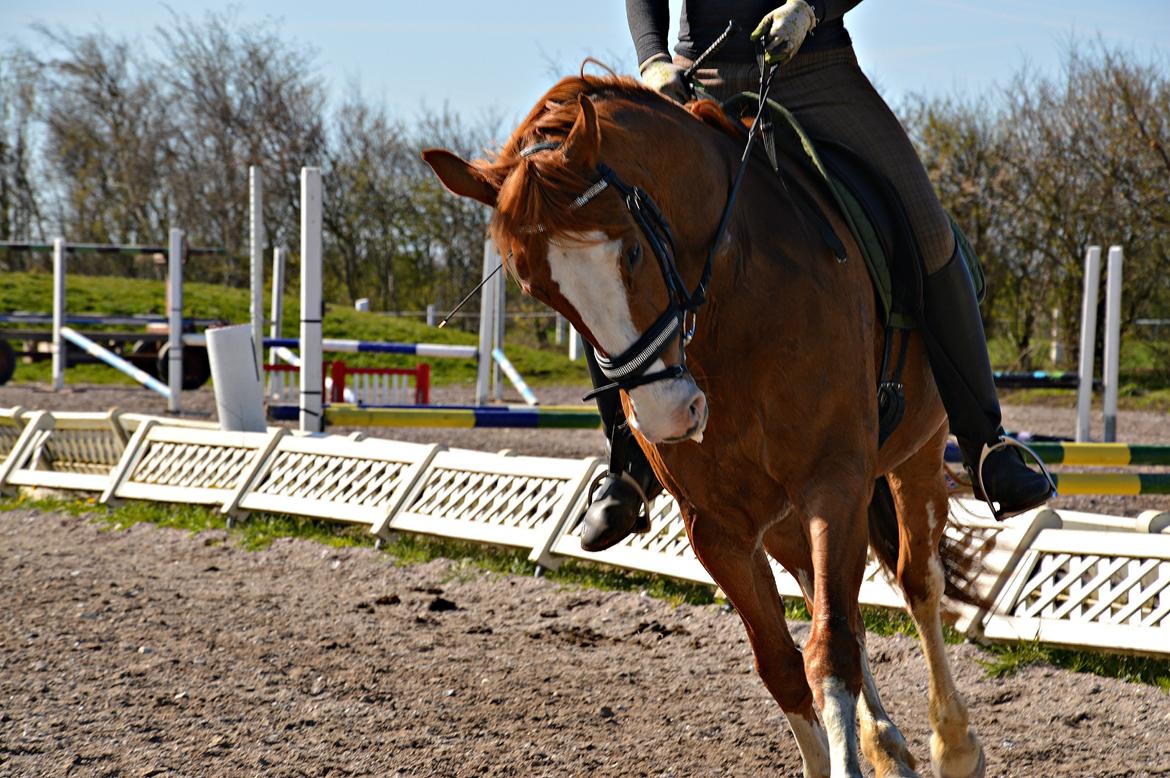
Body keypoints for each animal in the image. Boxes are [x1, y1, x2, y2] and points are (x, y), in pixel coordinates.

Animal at [425, 74, 982, 776]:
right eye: (536, 289)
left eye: (634, 249)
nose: (668, 415)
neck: (730, 303)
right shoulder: (717, 526)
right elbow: (782, 663)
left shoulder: (833, 482)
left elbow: (829, 652)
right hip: (783, 517)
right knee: (837, 606)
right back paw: (886, 743)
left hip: (916, 455)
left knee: (918, 582)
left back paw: (954, 745)